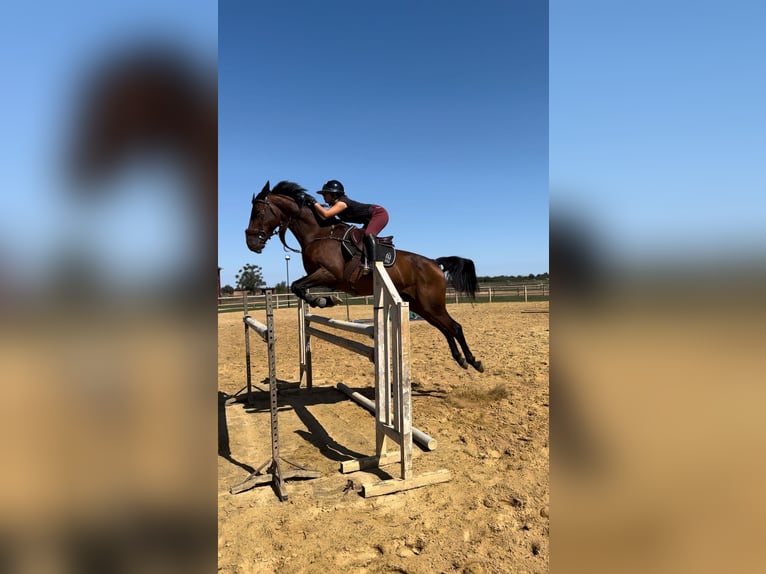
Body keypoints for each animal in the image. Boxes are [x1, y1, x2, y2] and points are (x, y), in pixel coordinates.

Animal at [246, 182, 486, 376]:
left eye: (257, 212)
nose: (251, 243)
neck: (318, 234)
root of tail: (435, 263)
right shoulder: (322, 276)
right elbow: (298, 287)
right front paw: (325, 300)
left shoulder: (330, 274)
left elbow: (298, 286)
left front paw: (323, 301)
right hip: (423, 306)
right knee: (446, 329)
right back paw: (461, 359)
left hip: (431, 304)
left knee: (455, 327)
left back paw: (474, 362)